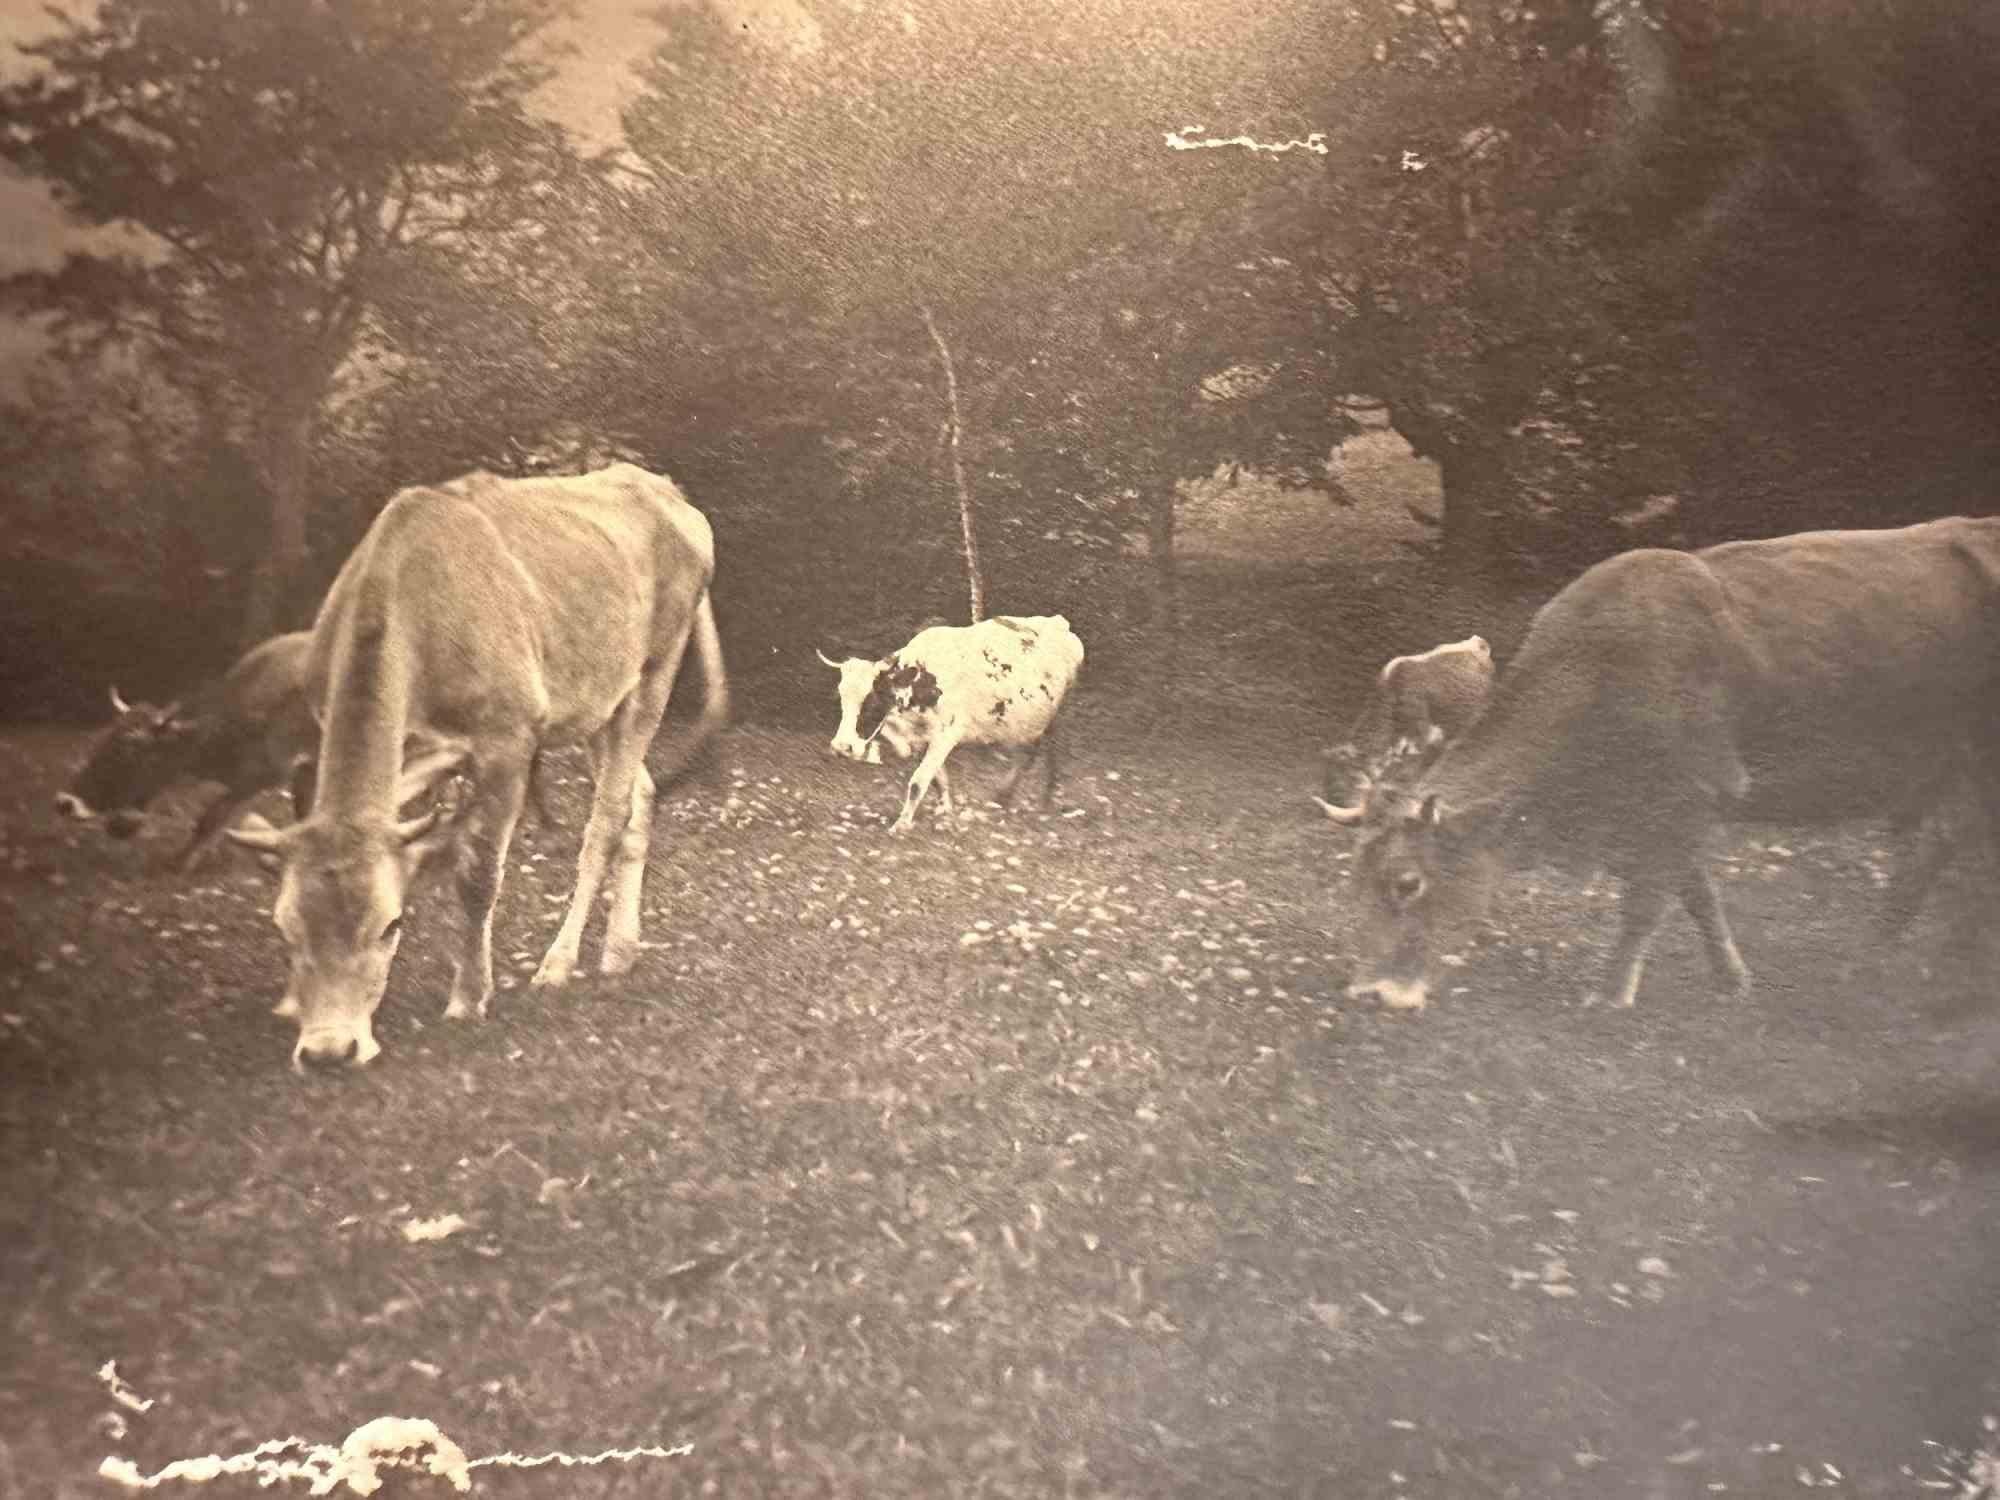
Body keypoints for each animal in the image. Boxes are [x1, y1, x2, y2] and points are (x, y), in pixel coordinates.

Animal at [229, 464, 728, 1072]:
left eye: (390, 926)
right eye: (285, 929)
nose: (329, 1051)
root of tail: (661, 487)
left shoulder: (507, 739)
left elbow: (477, 875)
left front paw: (470, 996)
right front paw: (290, 1002)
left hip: (653, 673)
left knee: (607, 819)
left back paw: (558, 962)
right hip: (597, 702)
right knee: (643, 797)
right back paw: (619, 951)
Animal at [820, 616, 1088, 840]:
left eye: (872, 700)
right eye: (841, 697)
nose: (841, 747)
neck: (922, 682)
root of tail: (1059, 623)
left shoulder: (946, 734)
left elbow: (918, 781)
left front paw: (902, 824)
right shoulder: (925, 738)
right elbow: (938, 778)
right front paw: (945, 810)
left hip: (1055, 715)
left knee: (1049, 753)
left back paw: (1045, 799)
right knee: (1027, 755)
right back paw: (1004, 797)